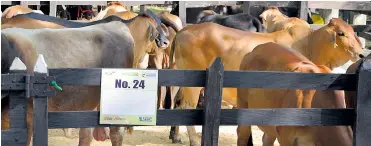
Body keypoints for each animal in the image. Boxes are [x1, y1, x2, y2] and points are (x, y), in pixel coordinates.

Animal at [170, 18, 364, 145]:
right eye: (341, 33)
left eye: (354, 32)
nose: (362, 54)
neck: (310, 43)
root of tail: (184, 30)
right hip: (193, 85)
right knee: (187, 106)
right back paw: (194, 141)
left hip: (180, 77)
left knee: (176, 103)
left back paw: (175, 136)